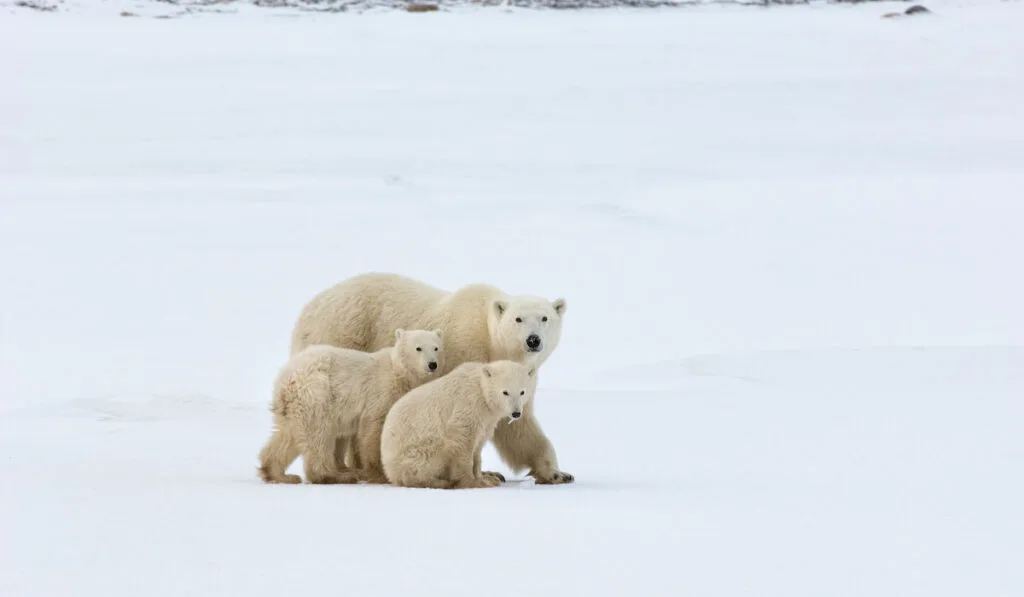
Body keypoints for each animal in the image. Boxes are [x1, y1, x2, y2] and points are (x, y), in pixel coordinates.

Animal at [258, 327, 442, 485]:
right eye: (418, 348)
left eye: (436, 348)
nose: (432, 364)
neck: (399, 373)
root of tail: (286, 377)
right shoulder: (380, 392)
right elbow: (373, 429)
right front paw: (379, 473)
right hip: (317, 393)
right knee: (318, 434)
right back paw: (334, 476)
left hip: (294, 404)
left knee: (286, 435)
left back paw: (279, 474)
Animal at [380, 362, 532, 487]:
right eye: (505, 392)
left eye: (522, 391)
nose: (516, 413)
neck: (480, 391)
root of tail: (389, 469)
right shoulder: (467, 407)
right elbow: (462, 442)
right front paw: (474, 482)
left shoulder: (486, 420)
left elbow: (478, 446)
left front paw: (485, 478)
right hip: (419, 450)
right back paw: (441, 482)